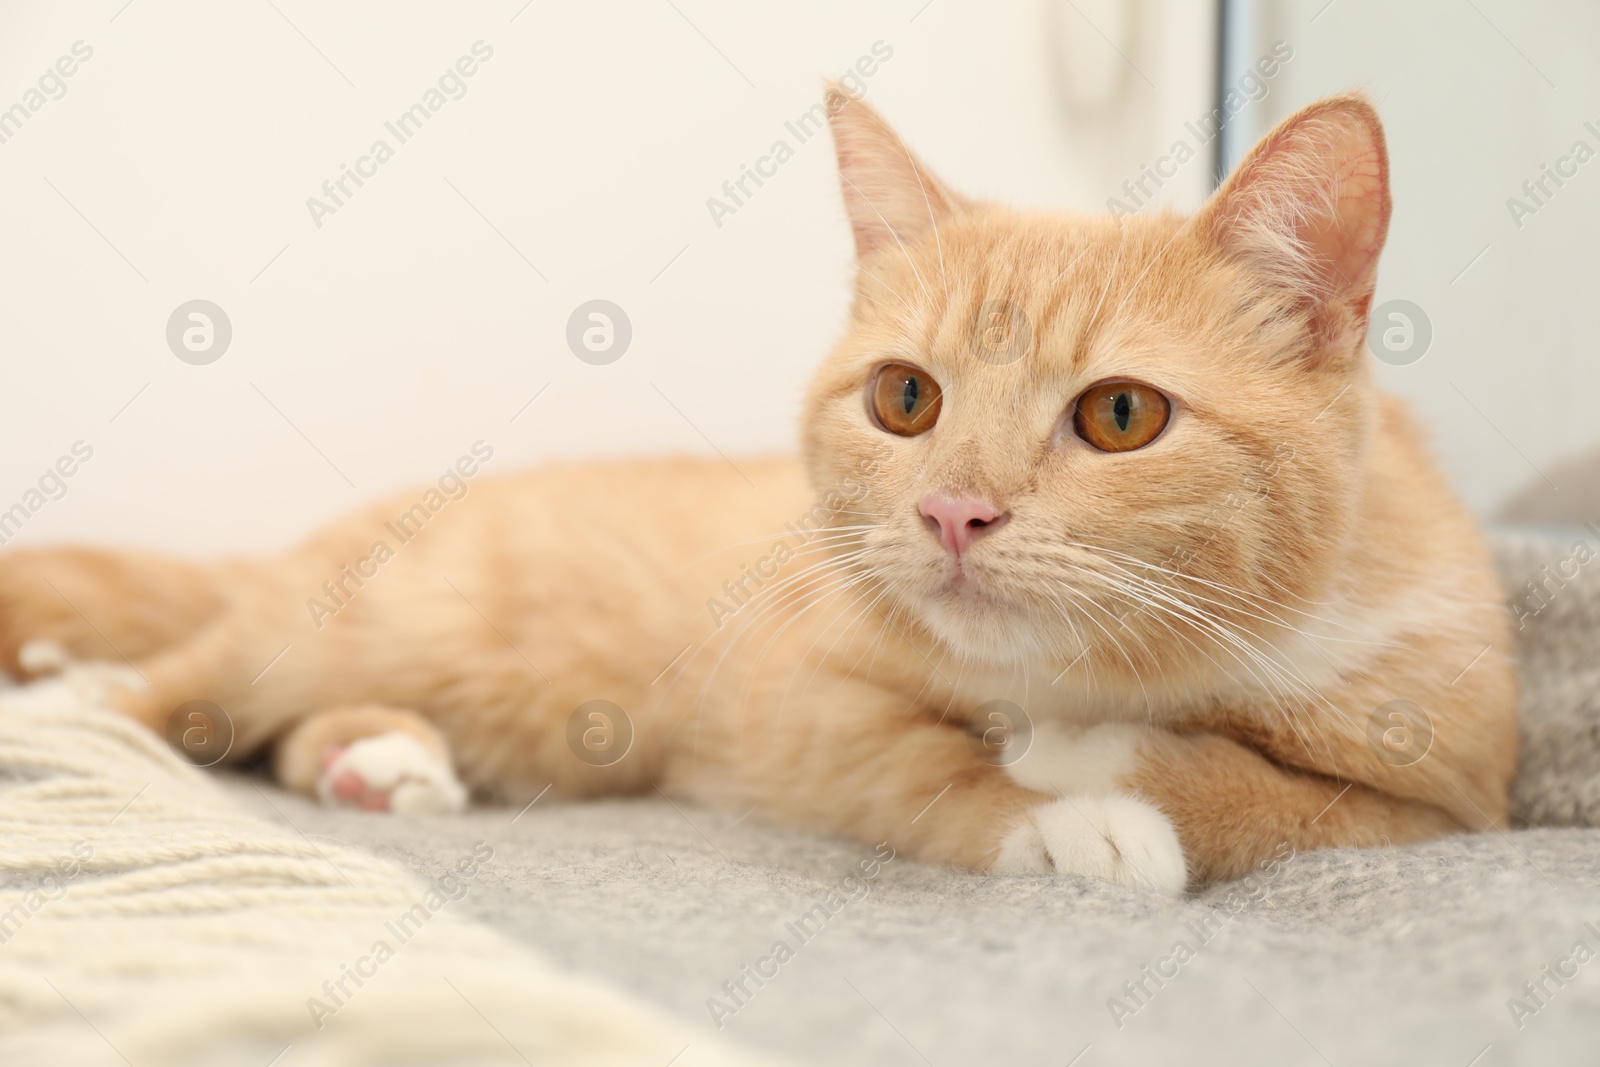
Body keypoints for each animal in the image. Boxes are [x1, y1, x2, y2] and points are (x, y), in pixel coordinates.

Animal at [0, 89, 1510, 895]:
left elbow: (1293, 795)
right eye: (906, 399)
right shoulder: (801, 698)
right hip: (371, 621)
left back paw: (377, 761)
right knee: (195, 680)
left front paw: (1099, 761)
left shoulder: (1455, 788)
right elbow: (921, 766)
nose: (953, 510)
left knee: (285, 723)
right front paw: (1064, 806)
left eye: (1120, 414)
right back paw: (73, 705)